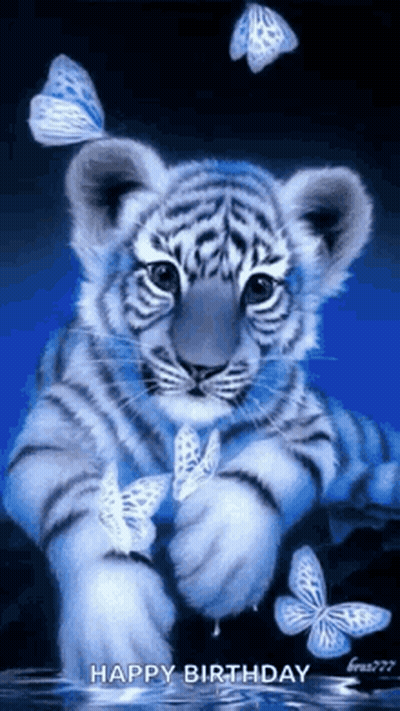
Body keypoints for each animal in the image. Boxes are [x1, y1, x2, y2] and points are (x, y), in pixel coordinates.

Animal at [4, 137, 400, 682]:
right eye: (164, 275)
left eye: (259, 287)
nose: (201, 366)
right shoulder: (49, 439)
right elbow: (88, 508)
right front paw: (115, 630)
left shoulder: (308, 426)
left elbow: (266, 473)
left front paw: (219, 560)